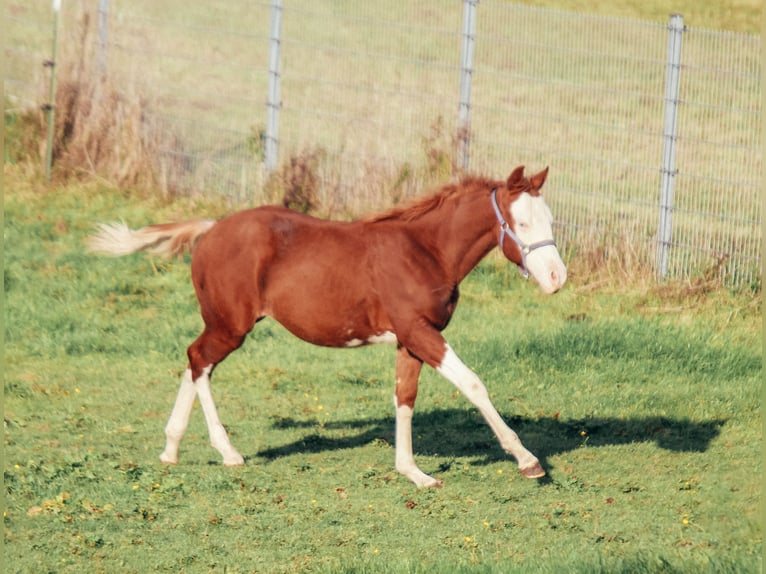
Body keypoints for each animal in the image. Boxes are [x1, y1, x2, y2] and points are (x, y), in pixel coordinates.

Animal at [87, 165, 567, 487]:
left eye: (550, 221)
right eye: (521, 223)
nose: (557, 278)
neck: (425, 250)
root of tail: (211, 228)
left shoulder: (409, 340)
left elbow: (404, 397)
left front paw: (413, 472)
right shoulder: (421, 333)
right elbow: (472, 383)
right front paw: (527, 460)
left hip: (224, 325)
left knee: (194, 362)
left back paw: (171, 449)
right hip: (231, 325)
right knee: (199, 360)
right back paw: (227, 452)